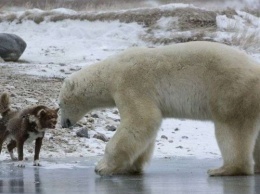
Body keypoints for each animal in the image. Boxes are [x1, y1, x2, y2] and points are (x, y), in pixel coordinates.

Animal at [59, 41, 260, 177]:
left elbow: (141, 121)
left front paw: (102, 167)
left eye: (60, 104)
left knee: (230, 130)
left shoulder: (130, 84)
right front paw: (131, 166)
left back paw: (224, 169)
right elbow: (146, 130)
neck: (110, 72)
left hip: (231, 92)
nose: (63, 124)